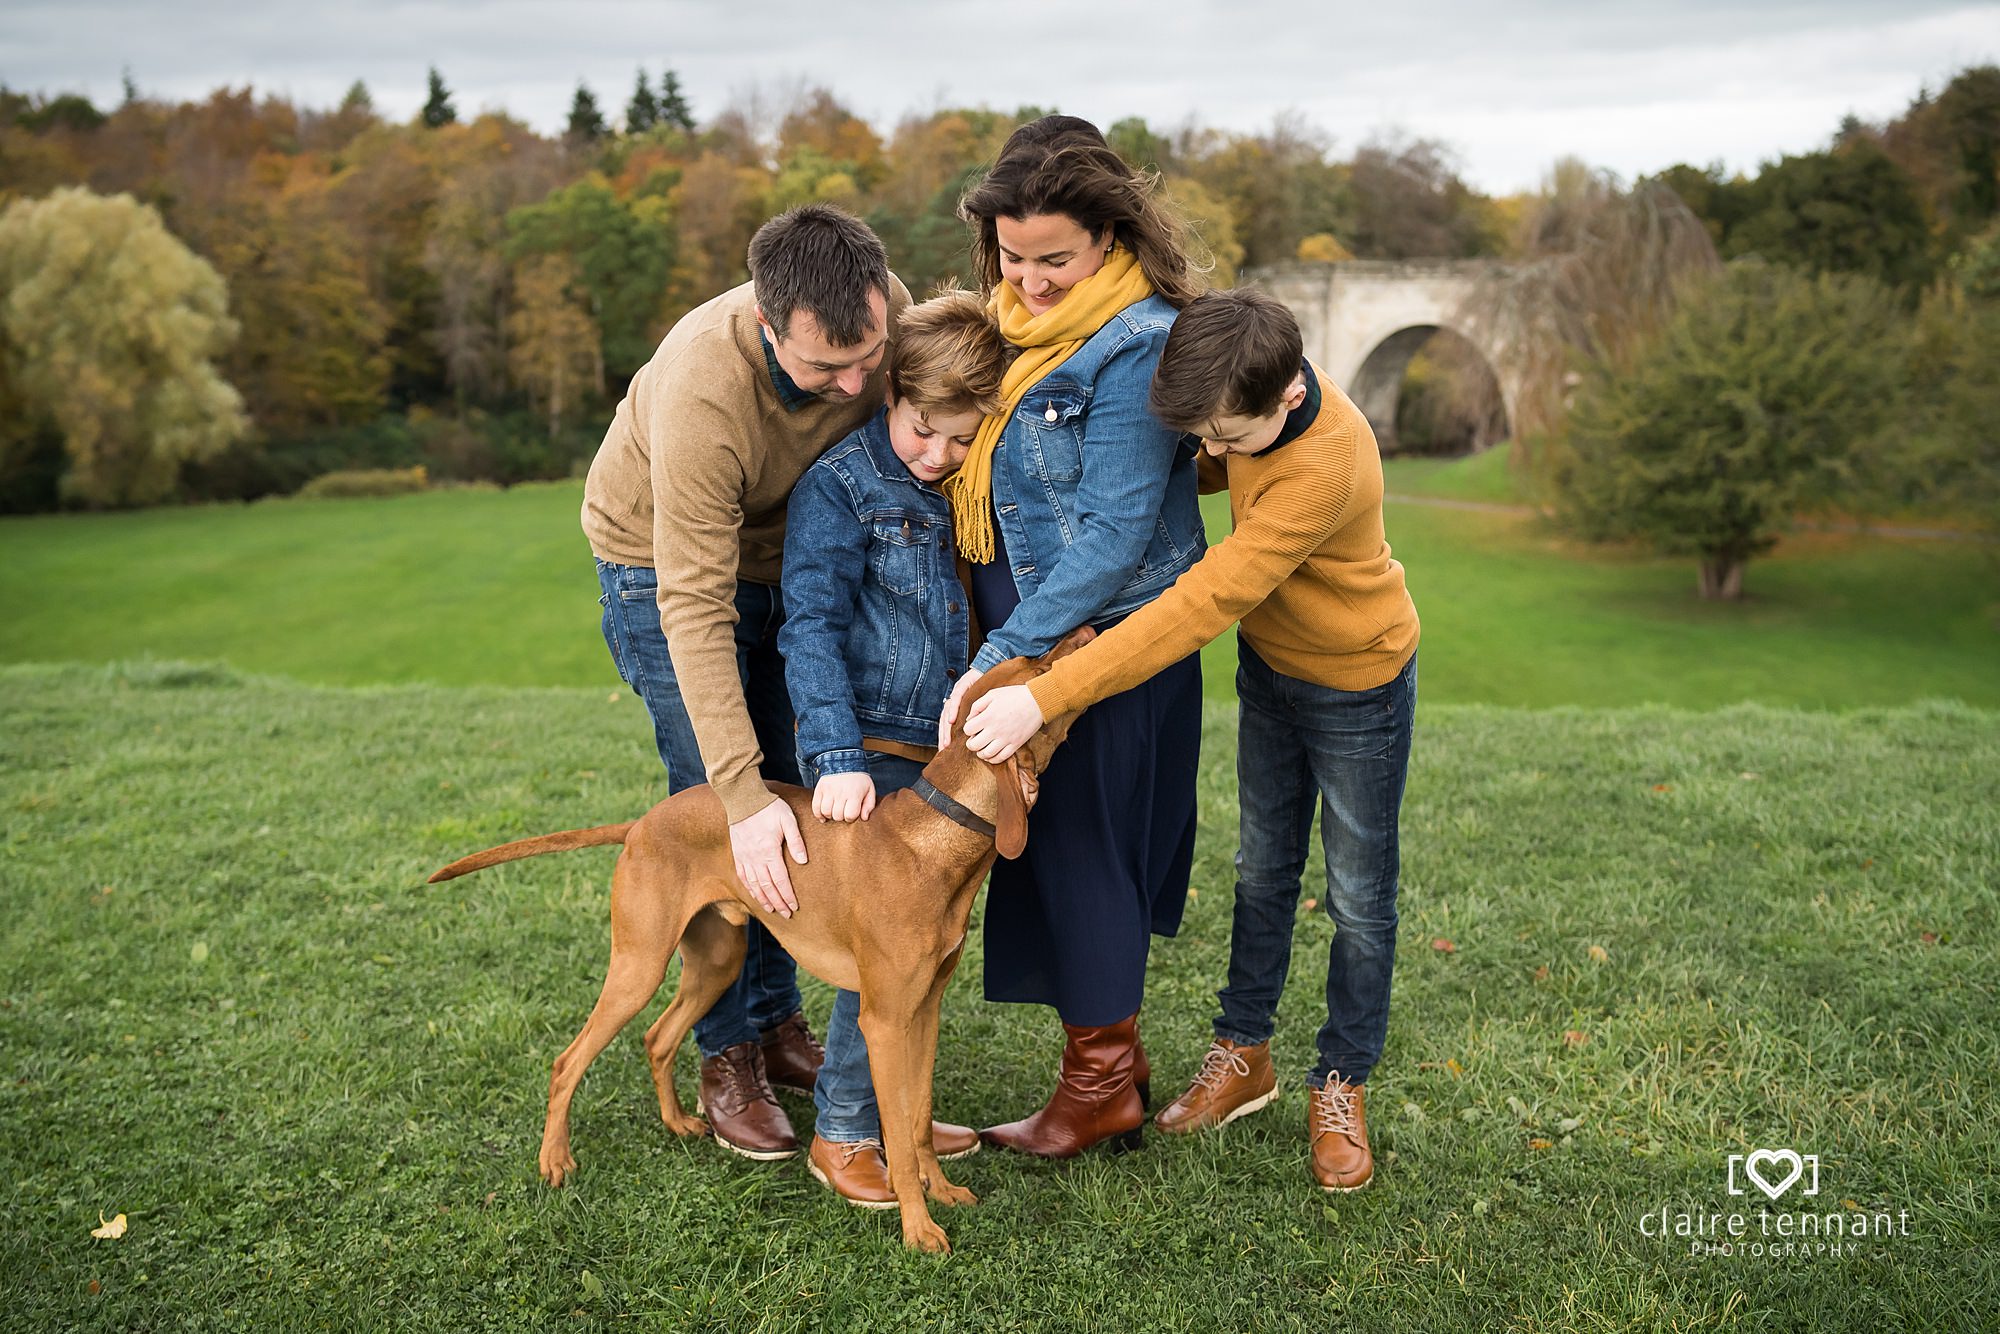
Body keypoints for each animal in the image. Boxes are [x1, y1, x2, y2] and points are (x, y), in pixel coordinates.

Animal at [426, 632, 1096, 1256]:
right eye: (1039, 667)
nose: (1089, 631)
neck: (934, 839)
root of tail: (642, 822)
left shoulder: (925, 1009)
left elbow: (920, 1122)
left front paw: (944, 1191)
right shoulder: (883, 1021)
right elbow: (899, 1143)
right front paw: (917, 1227)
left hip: (716, 962)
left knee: (658, 1037)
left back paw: (677, 1124)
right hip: (638, 965)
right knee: (568, 1061)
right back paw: (555, 1161)